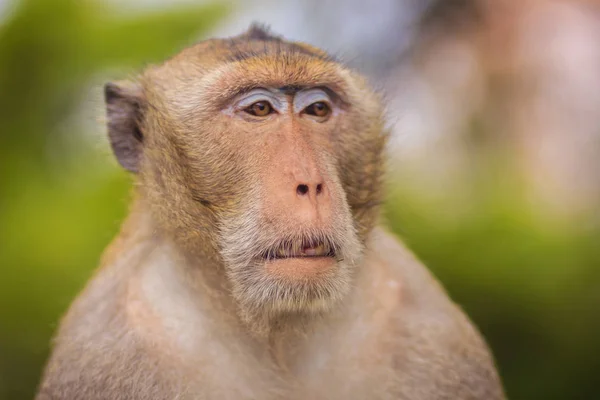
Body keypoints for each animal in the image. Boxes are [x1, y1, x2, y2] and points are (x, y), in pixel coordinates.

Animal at [36, 25, 506, 400]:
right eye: (259, 109)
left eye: (318, 109)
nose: (310, 185)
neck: (277, 332)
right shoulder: (102, 349)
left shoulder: (435, 329)